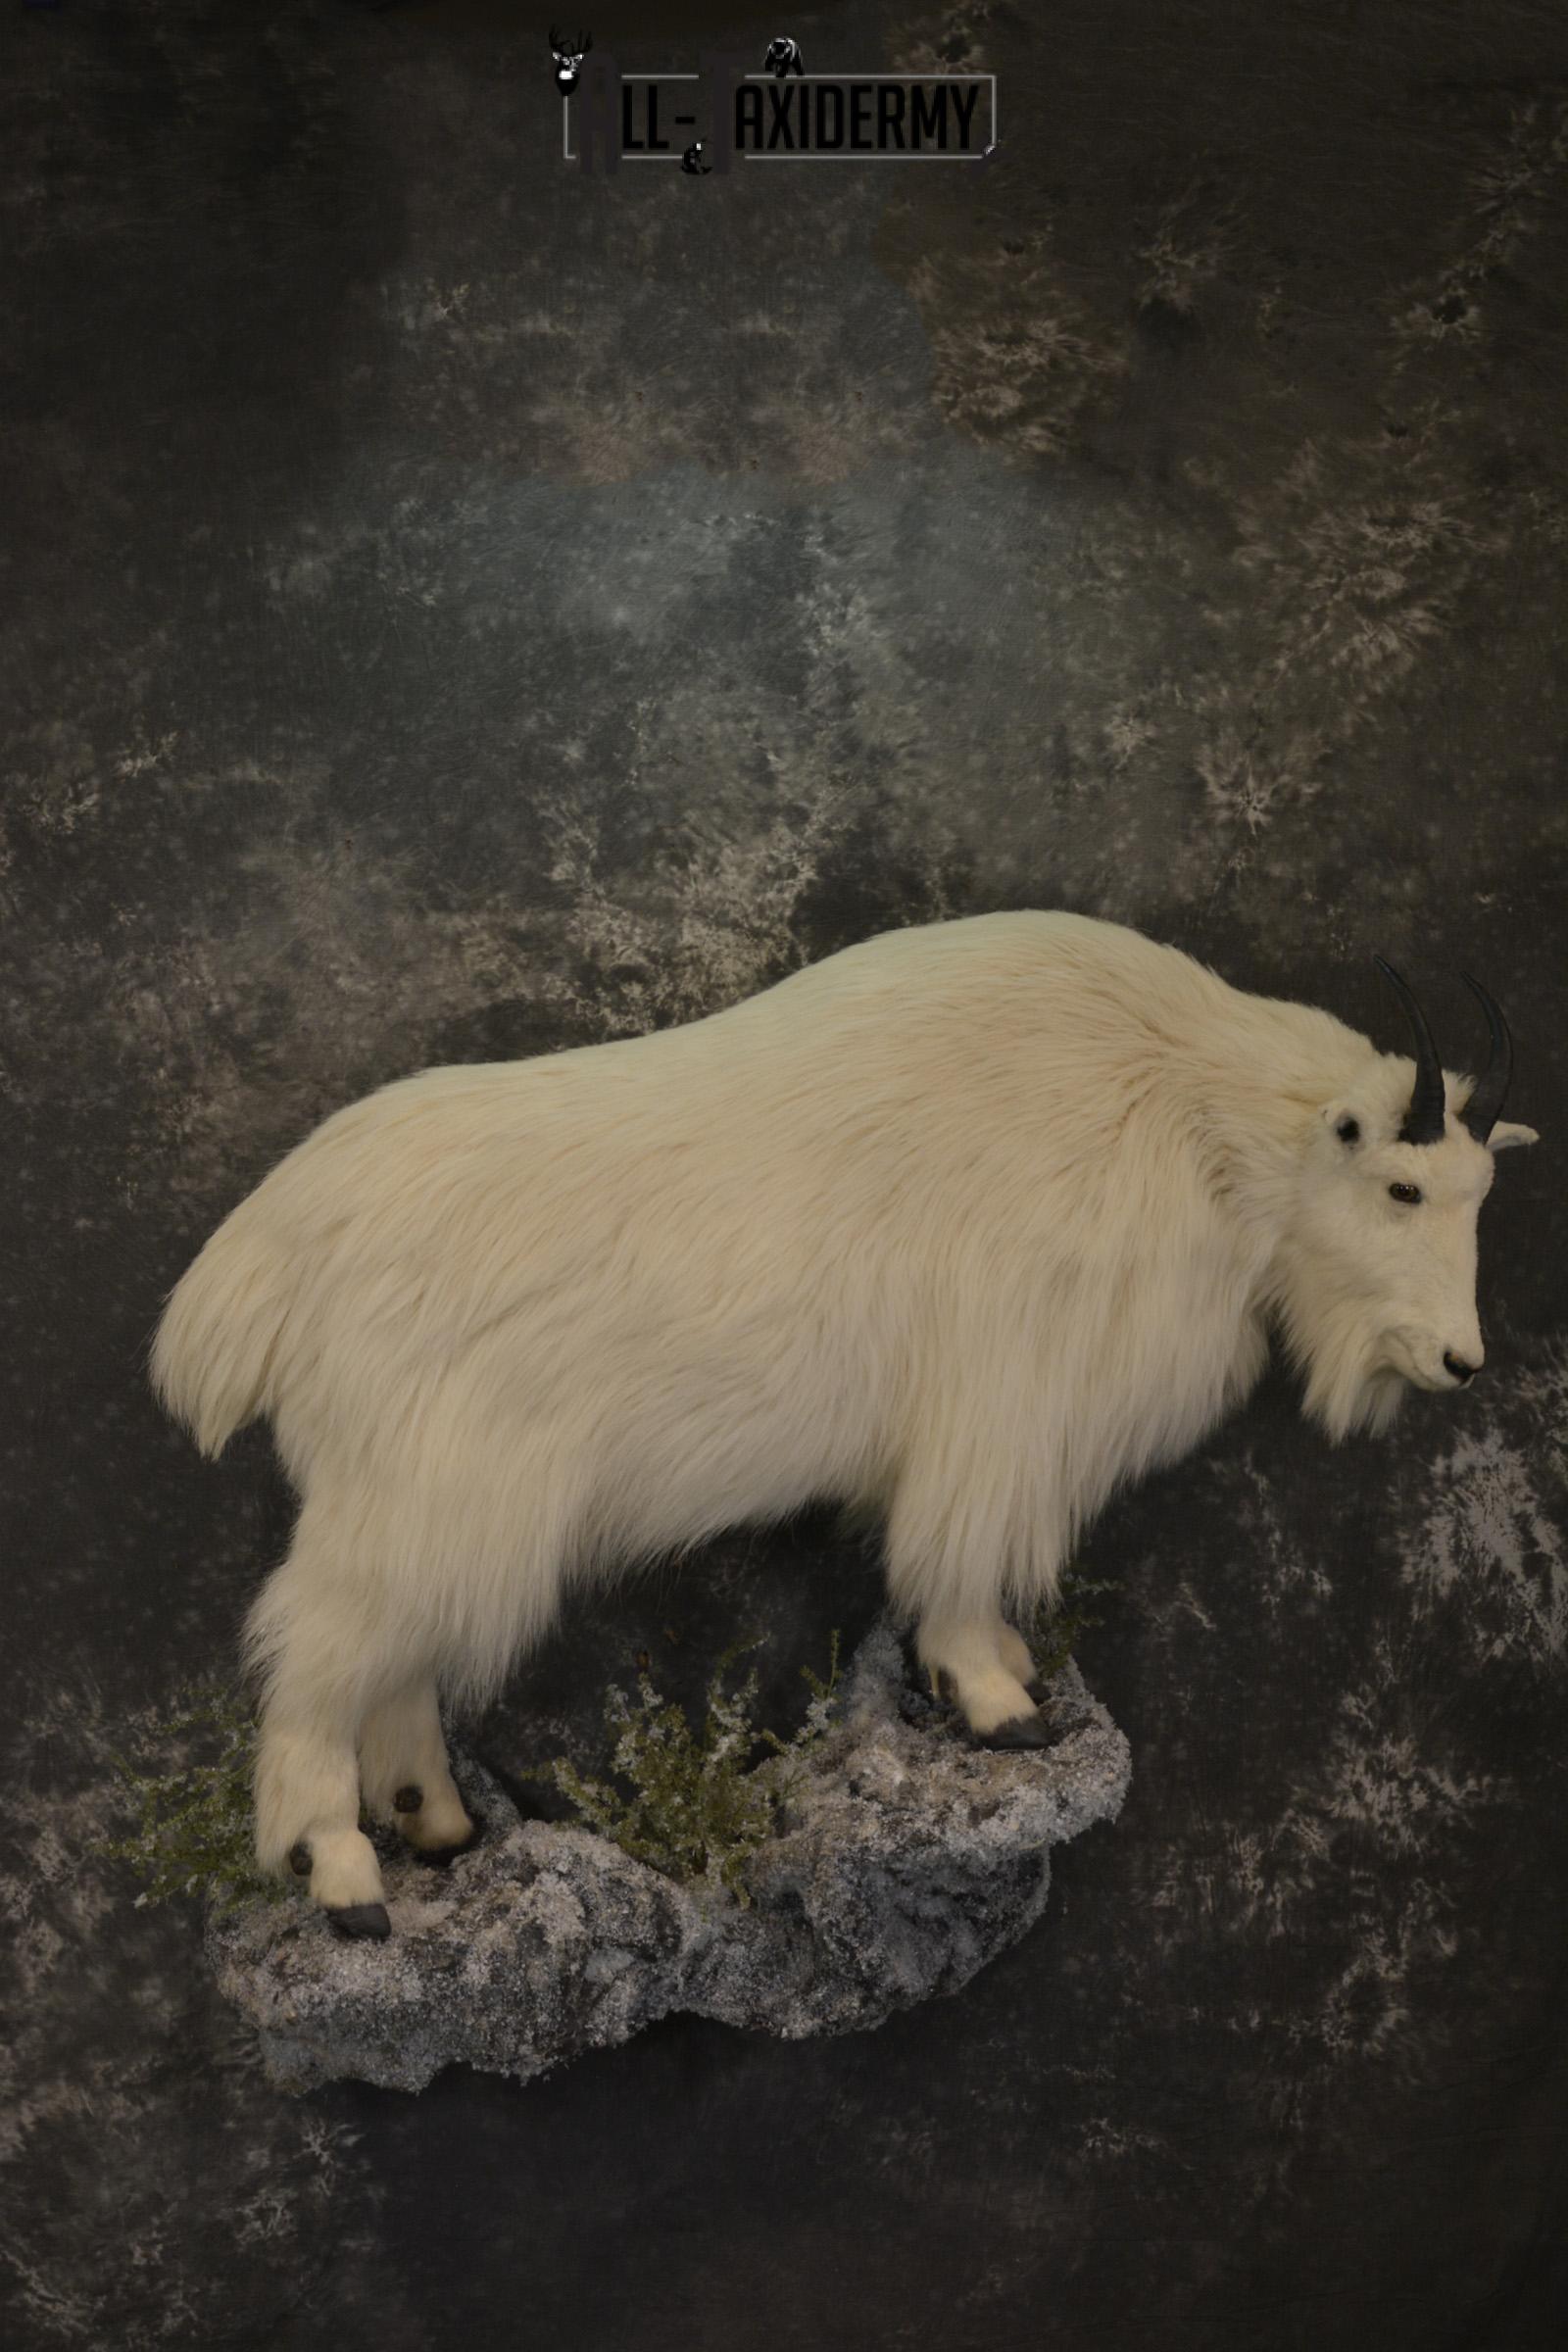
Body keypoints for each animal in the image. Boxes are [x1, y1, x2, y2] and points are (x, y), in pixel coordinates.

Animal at [149, 909, 1538, 1938]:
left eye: (1481, 1190)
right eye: (1401, 1186)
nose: (1460, 1361)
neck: (1189, 1120)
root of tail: (257, 1271)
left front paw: (1014, 1674)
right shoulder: (1000, 1410)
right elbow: (956, 1569)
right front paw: (1000, 1705)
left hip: (427, 1510)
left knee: (394, 1669)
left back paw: (435, 1824)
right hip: (418, 1498)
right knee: (316, 1658)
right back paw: (342, 1873)